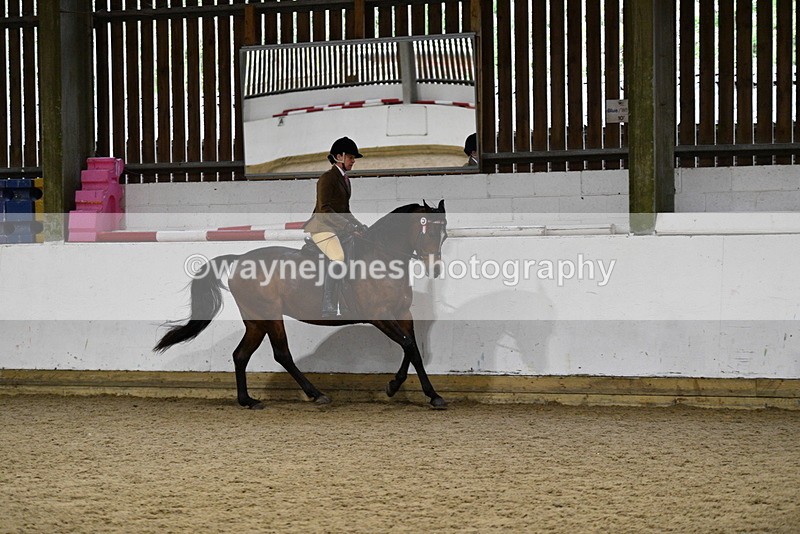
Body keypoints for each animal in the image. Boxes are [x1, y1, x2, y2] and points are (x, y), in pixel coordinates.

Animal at [154, 200, 449, 409]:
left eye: (443, 235)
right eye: (428, 232)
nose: (435, 269)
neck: (382, 258)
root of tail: (239, 259)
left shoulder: (403, 314)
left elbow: (413, 350)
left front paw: (419, 392)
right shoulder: (379, 316)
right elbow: (408, 346)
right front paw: (405, 388)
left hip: (256, 320)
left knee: (241, 355)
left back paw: (248, 400)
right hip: (270, 315)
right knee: (282, 354)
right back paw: (316, 395)